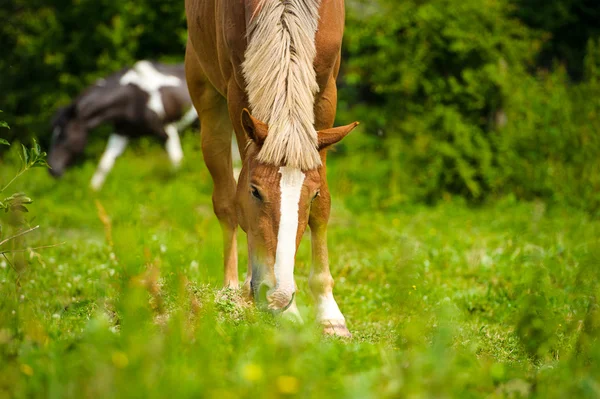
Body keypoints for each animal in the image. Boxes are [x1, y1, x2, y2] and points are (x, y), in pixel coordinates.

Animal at [48, 60, 197, 191]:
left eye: (64, 136)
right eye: (53, 135)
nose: (52, 170)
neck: (133, 99)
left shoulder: (167, 129)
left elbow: (176, 160)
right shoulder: (121, 133)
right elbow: (105, 163)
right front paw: (92, 192)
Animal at [185, 0, 358, 338]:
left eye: (311, 196)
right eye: (255, 191)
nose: (277, 294)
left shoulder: (326, 92)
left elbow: (322, 210)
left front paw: (329, 315)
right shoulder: (237, 93)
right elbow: (239, 202)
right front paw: (286, 310)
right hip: (207, 100)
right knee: (225, 201)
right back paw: (233, 290)